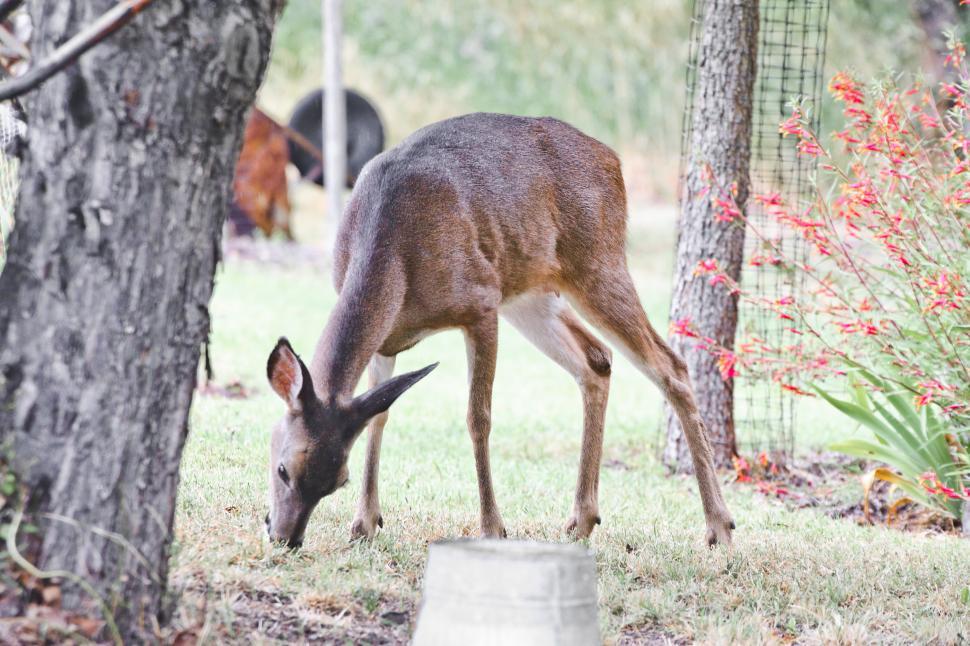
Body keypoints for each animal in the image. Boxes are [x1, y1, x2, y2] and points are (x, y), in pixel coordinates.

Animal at [263, 112, 735, 549]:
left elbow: (479, 417)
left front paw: (493, 527)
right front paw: (364, 523)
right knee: (596, 359)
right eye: (282, 467)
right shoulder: (387, 339)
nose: (286, 537)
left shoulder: (480, 303)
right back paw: (582, 520)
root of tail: (612, 159)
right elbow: (379, 414)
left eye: (335, 480)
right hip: (530, 291)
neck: (392, 253)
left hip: (599, 262)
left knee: (671, 365)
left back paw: (719, 526)